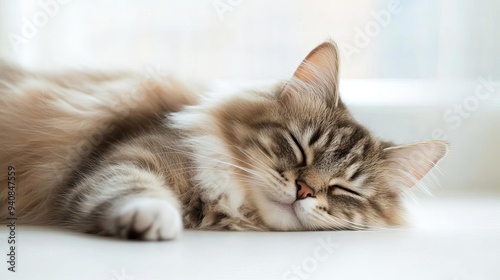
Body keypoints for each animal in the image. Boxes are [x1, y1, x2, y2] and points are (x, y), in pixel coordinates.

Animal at [0, 41, 450, 241]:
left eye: (345, 189)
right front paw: (155, 219)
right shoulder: (126, 158)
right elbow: (135, 188)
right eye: (299, 147)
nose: (304, 190)